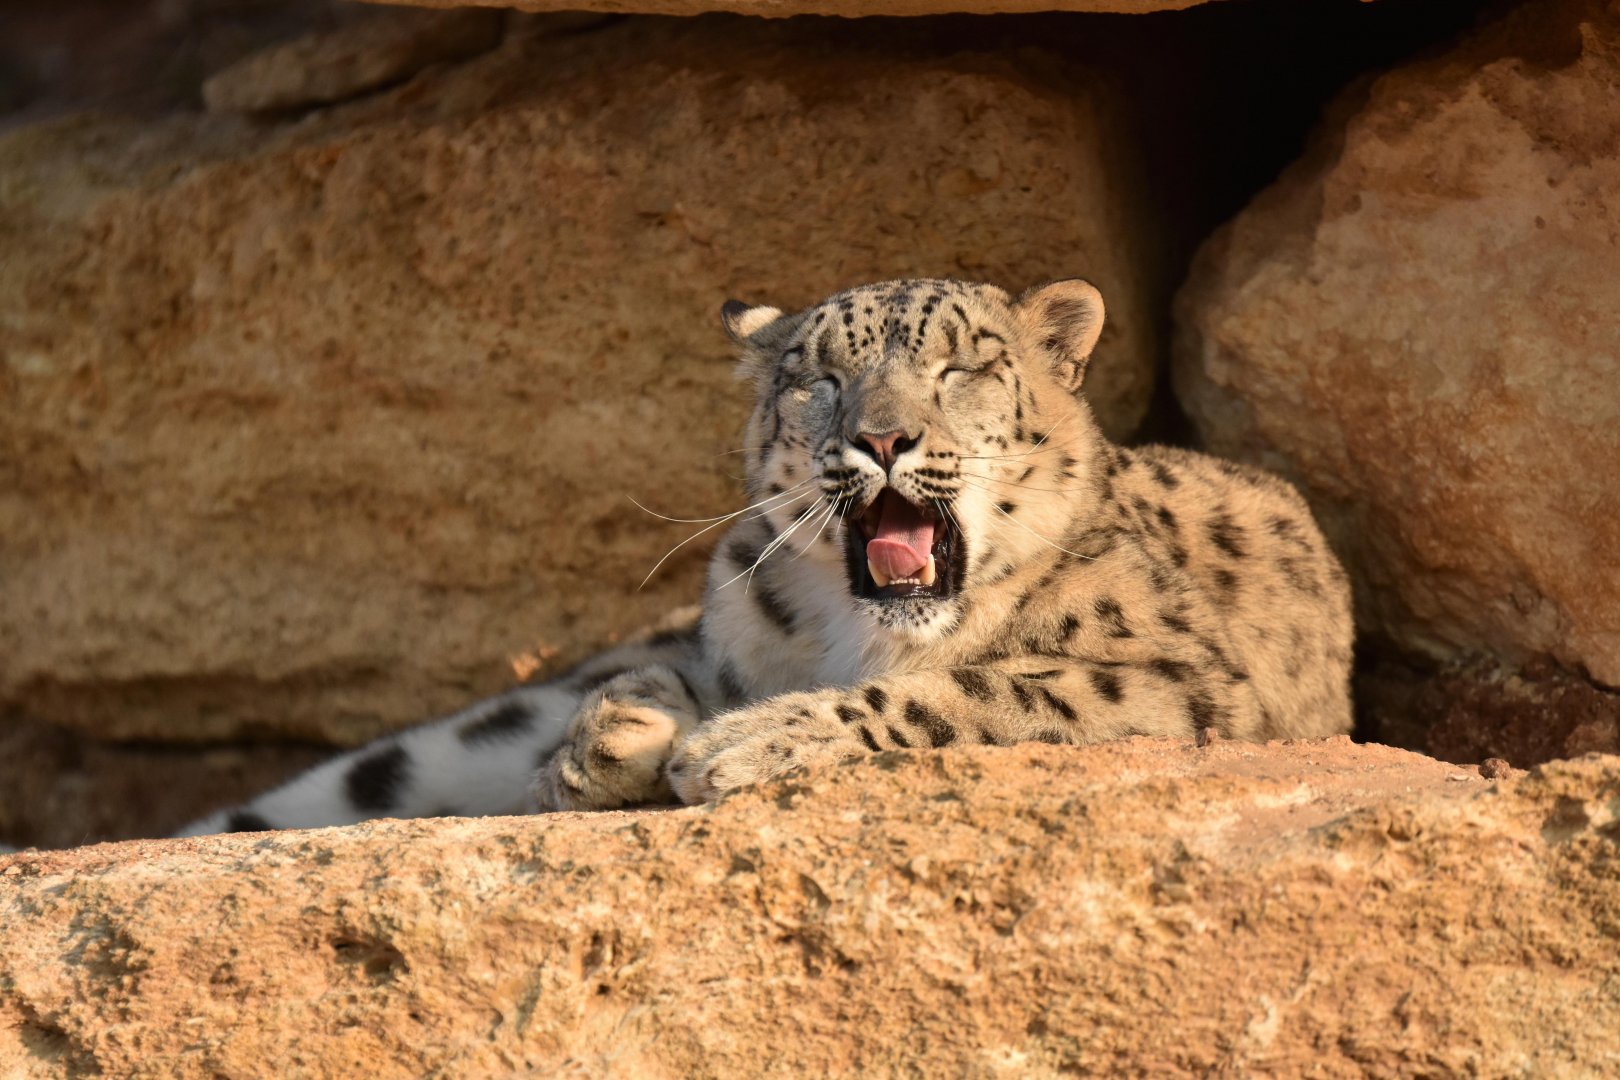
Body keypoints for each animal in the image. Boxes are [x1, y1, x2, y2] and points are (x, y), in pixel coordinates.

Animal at [174, 276, 1352, 837]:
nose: (884, 438)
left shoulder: (1181, 678)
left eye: (962, 368)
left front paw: (740, 742)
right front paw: (617, 735)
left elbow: (976, 689)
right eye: (816, 378)